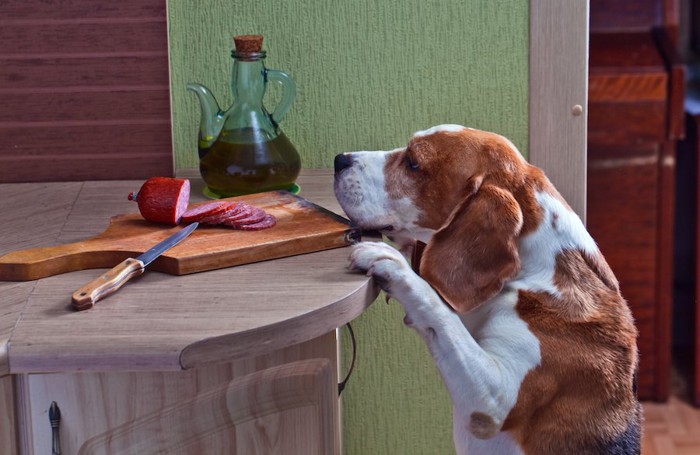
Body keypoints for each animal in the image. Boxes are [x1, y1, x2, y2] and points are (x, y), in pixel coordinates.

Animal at [334, 124, 640, 455]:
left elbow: (438, 309)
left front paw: (393, 265)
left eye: (413, 163)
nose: (339, 160)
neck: (535, 271)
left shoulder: (492, 401)